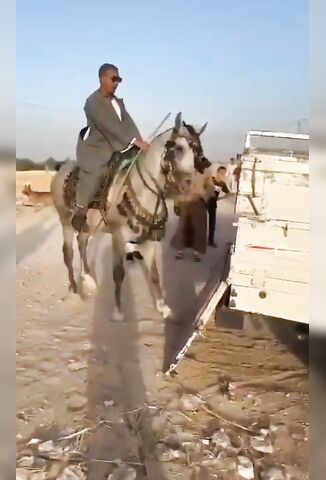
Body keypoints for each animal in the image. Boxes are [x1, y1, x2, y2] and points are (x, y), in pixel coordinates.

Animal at [51, 113, 209, 320]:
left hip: (88, 225)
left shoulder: (146, 240)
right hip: (65, 222)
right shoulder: (119, 237)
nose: (188, 182)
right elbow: (118, 274)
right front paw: (118, 312)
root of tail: (61, 168)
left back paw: (89, 279)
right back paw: (75, 289)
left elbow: (154, 275)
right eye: (179, 147)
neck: (143, 191)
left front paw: (162, 307)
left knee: (82, 242)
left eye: (198, 148)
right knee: (68, 253)